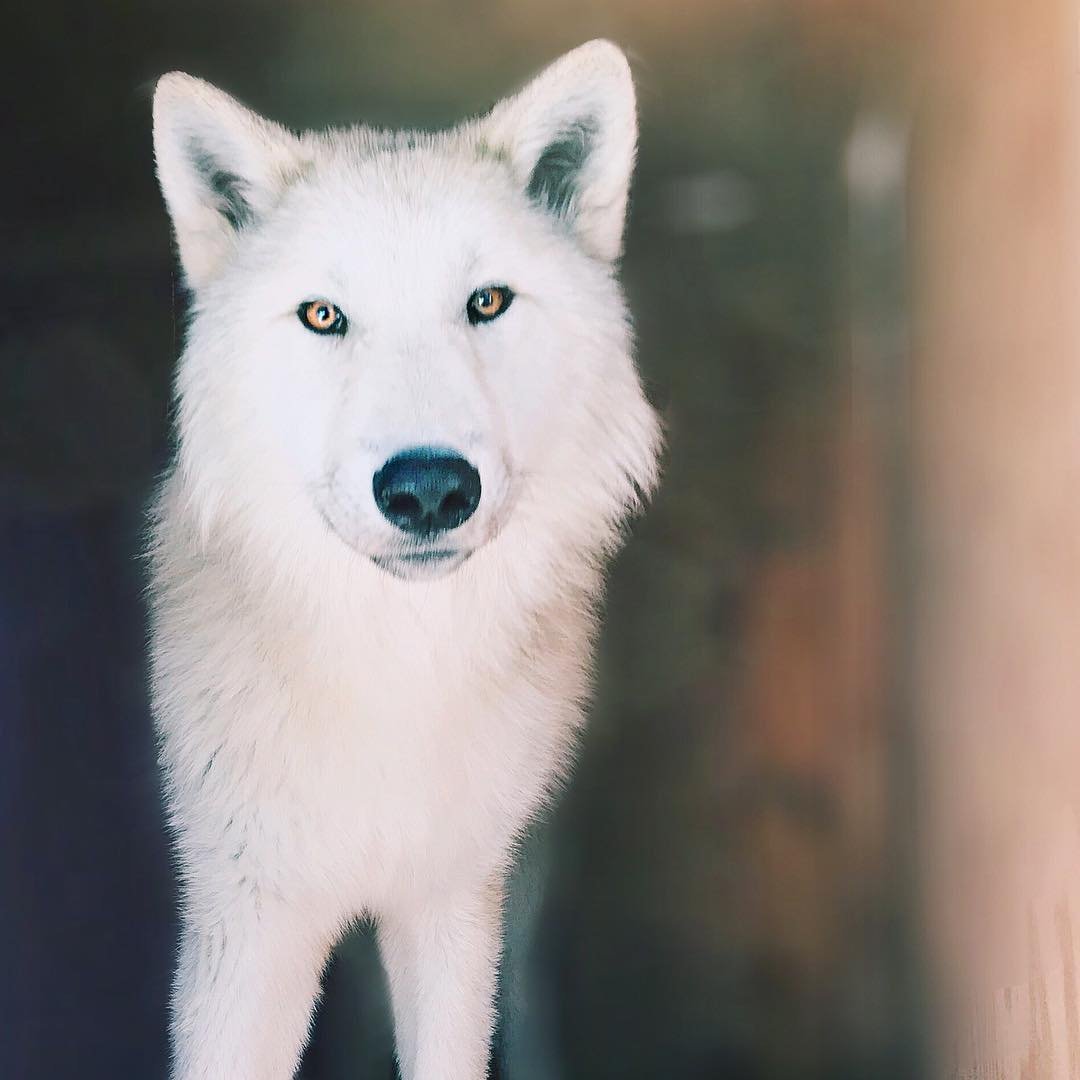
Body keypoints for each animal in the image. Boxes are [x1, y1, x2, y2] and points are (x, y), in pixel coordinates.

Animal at [147, 39, 661, 1080]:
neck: (398, 672)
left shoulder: (453, 903)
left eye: (487, 302)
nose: (428, 489)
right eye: (322, 315)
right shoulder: (245, 923)